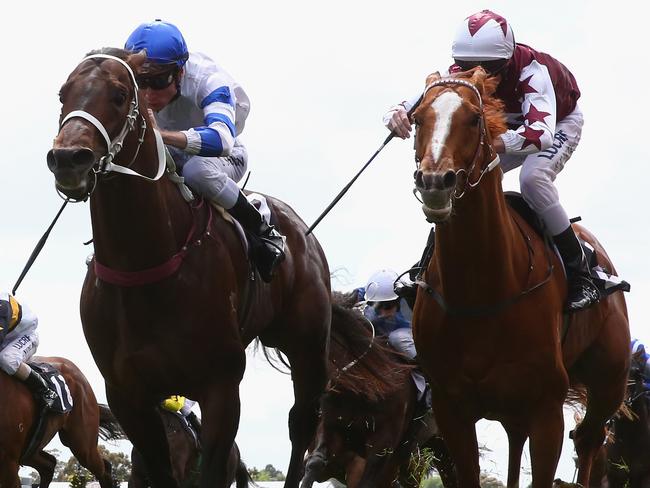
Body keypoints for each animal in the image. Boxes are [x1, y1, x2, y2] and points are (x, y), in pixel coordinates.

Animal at [46, 46, 330, 488]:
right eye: (63, 94)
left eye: (119, 95)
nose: (67, 159)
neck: (144, 265)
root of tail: (301, 229)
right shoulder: (127, 395)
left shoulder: (221, 386)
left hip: (307, 344)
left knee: (301, 421)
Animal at [410, 68, 628, 488]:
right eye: (416, 119)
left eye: (474, 119)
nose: (435, 183)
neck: (480, 292)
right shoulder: (451, 408)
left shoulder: (547, 409)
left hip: (608, 380)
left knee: (590, 438)